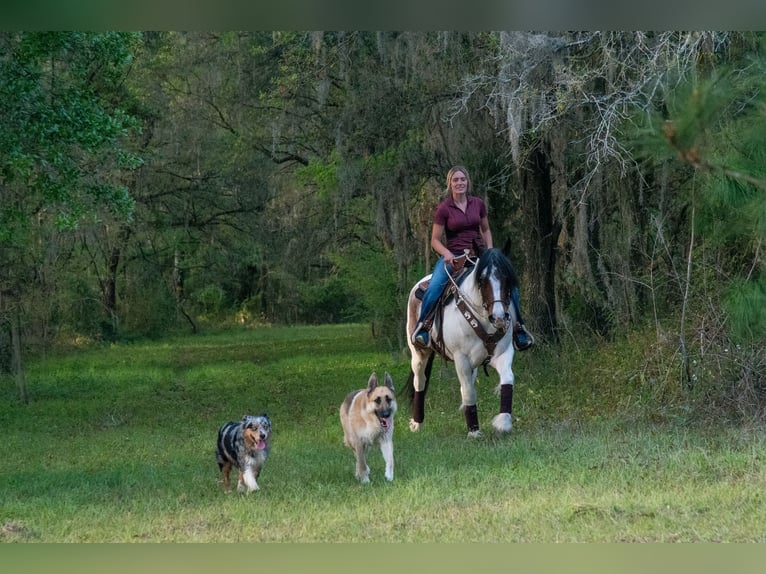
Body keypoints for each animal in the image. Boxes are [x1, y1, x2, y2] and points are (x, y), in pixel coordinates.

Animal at [402, 245, 520, 438]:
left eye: (508, 278)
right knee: (420, 382)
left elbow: (507, 379)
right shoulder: (461, 358)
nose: (499, 318)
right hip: (419, 354)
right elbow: (469, 393)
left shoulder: (503, 353)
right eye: (482, 279)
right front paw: (474, 431)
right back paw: (417, 424)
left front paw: (503, 422)